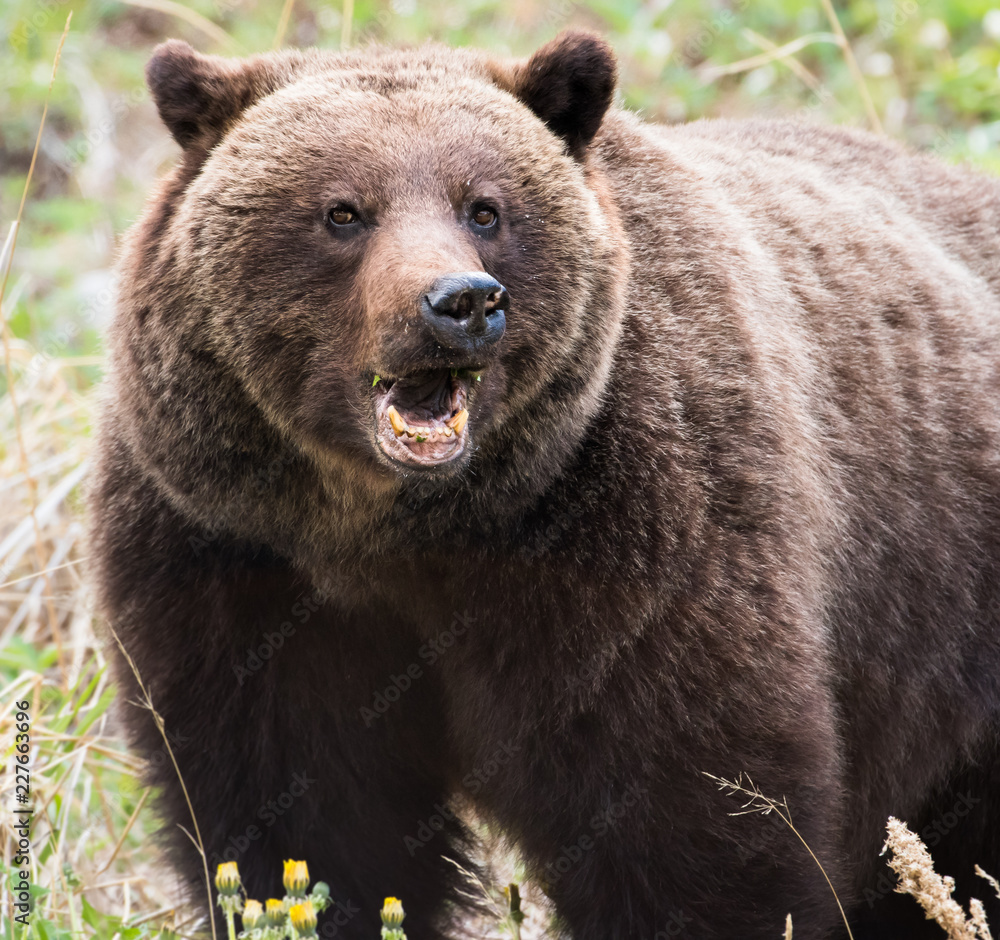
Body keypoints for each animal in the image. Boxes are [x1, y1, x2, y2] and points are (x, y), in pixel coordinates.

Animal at [87, 29, 1000, 940]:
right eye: (343, 210)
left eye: (483, 208)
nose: (460, 301)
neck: (397, 533)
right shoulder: (234, 560)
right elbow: (303, 823)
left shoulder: (629, 545)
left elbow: (687, 816)